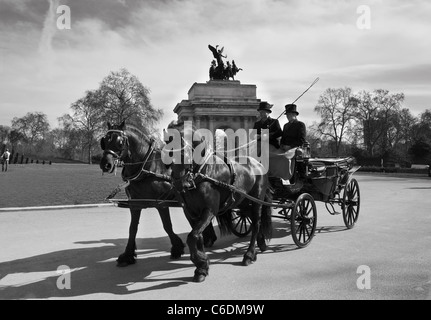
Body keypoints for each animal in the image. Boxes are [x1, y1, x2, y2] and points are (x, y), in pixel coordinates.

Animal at [99, 121, 218, 266]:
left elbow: (167, 226)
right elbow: (132, 229)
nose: (105, 164)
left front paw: (177, 247)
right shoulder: (135, 204)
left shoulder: (161, 203)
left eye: (120, 142)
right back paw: (209, 238)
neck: (146, 167)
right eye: (104, 141)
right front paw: (128, 255)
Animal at [166, 121, 274, 282]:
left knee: (256, 224)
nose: (180, 184)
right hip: (242, 202)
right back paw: (260, 245)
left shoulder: (209, 210)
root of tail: (258, 163)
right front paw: (202, 267)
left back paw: (249, 254)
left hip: (257, 200)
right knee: (255, 220)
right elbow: (197, 236)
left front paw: (201, 262)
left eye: (185, 153)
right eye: (168, 151)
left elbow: (192, 237)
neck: (203, 173)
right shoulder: (190, 212)